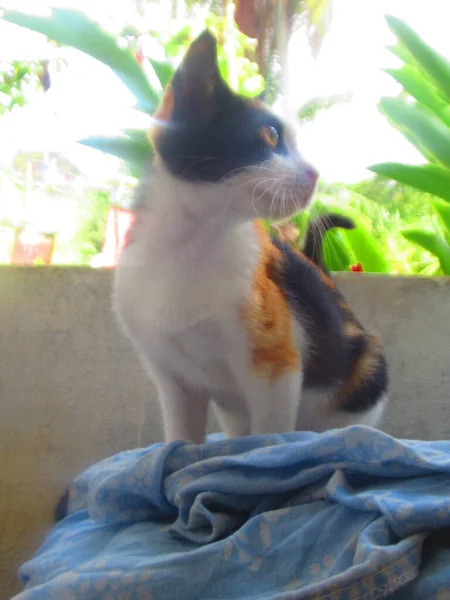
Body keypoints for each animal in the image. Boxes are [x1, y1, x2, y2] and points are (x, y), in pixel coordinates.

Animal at [114, 30, 388, 442]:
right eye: (270, 135)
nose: (315, 173)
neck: (191, 245)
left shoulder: (278, 365)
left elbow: (268, 436)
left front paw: (267, 455)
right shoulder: (173, 376)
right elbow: (181, 440)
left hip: (365, 373)